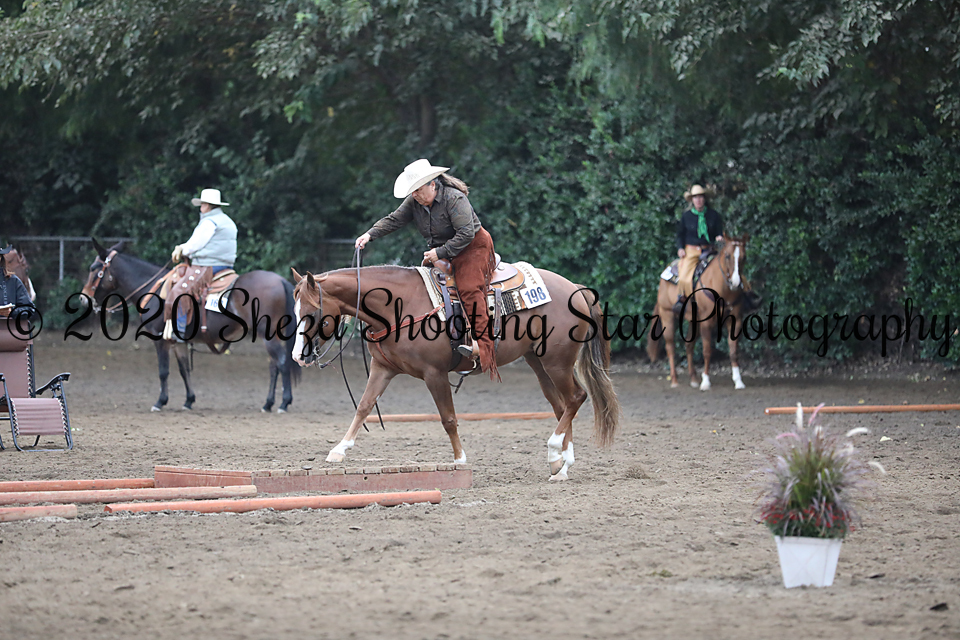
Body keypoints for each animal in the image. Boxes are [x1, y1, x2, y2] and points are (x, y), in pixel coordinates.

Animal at [81, 239, 300, 412]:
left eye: (93, 269)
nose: (84, 299)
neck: (155, 290)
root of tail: (281, 281)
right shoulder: (179, 342)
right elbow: (184, 369)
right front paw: (188, 401)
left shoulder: (160, 338)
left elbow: (163, 371)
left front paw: (160, 402)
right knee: (274, 366)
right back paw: (268, 404)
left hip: (268, 335)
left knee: (281, 362)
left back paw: (283, 403)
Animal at [289, 264, 621, 481]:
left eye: (312, 313)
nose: (297, 356)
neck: (399, 306)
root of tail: (576, 290)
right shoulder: (382, 368)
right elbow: (364, 406)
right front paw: (339, 450)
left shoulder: (434, 373)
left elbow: (448, 418)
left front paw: (460, 460)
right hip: (538, 362)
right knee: (562, 405)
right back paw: (561, 466)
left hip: (556, 362)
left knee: (576, 398)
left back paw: (554, 453)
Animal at [647, 234, 756, 390]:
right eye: (727, 256)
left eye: (744, 256)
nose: (735, 282)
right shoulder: (706, 322)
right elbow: (707, 351)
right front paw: (706, 382)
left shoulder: (735, 320)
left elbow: (734, 352)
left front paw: (738, 381)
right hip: (667, 315)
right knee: (670, 347)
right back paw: (674, 380)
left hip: (694, 321)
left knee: (689, 346)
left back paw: (693, 378)